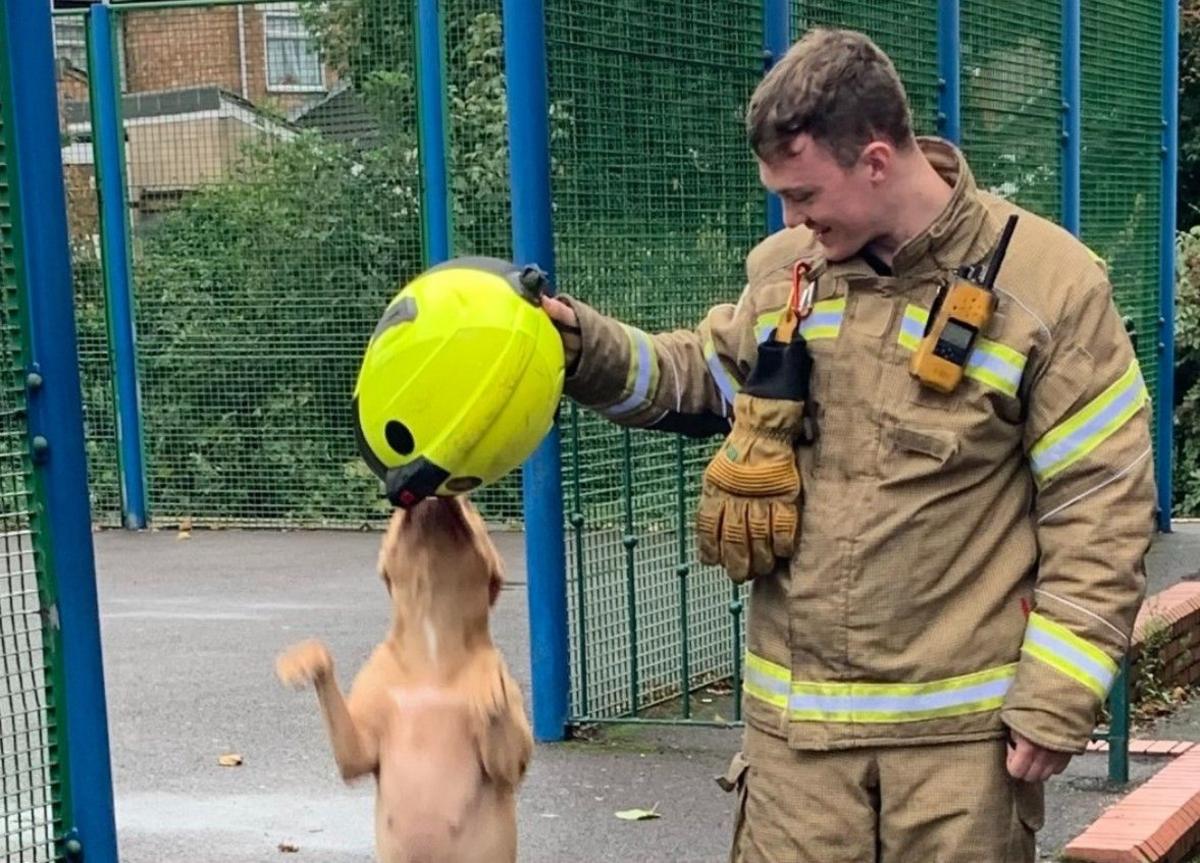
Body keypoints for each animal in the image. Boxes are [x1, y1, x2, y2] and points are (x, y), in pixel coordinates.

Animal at [278, 496, 532, 859]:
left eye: (471, 505)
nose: (434, 497)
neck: (432, 653)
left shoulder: (510, 767)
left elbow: (507, 753)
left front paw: (488, 687)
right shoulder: (359, 752)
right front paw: (305, 658)